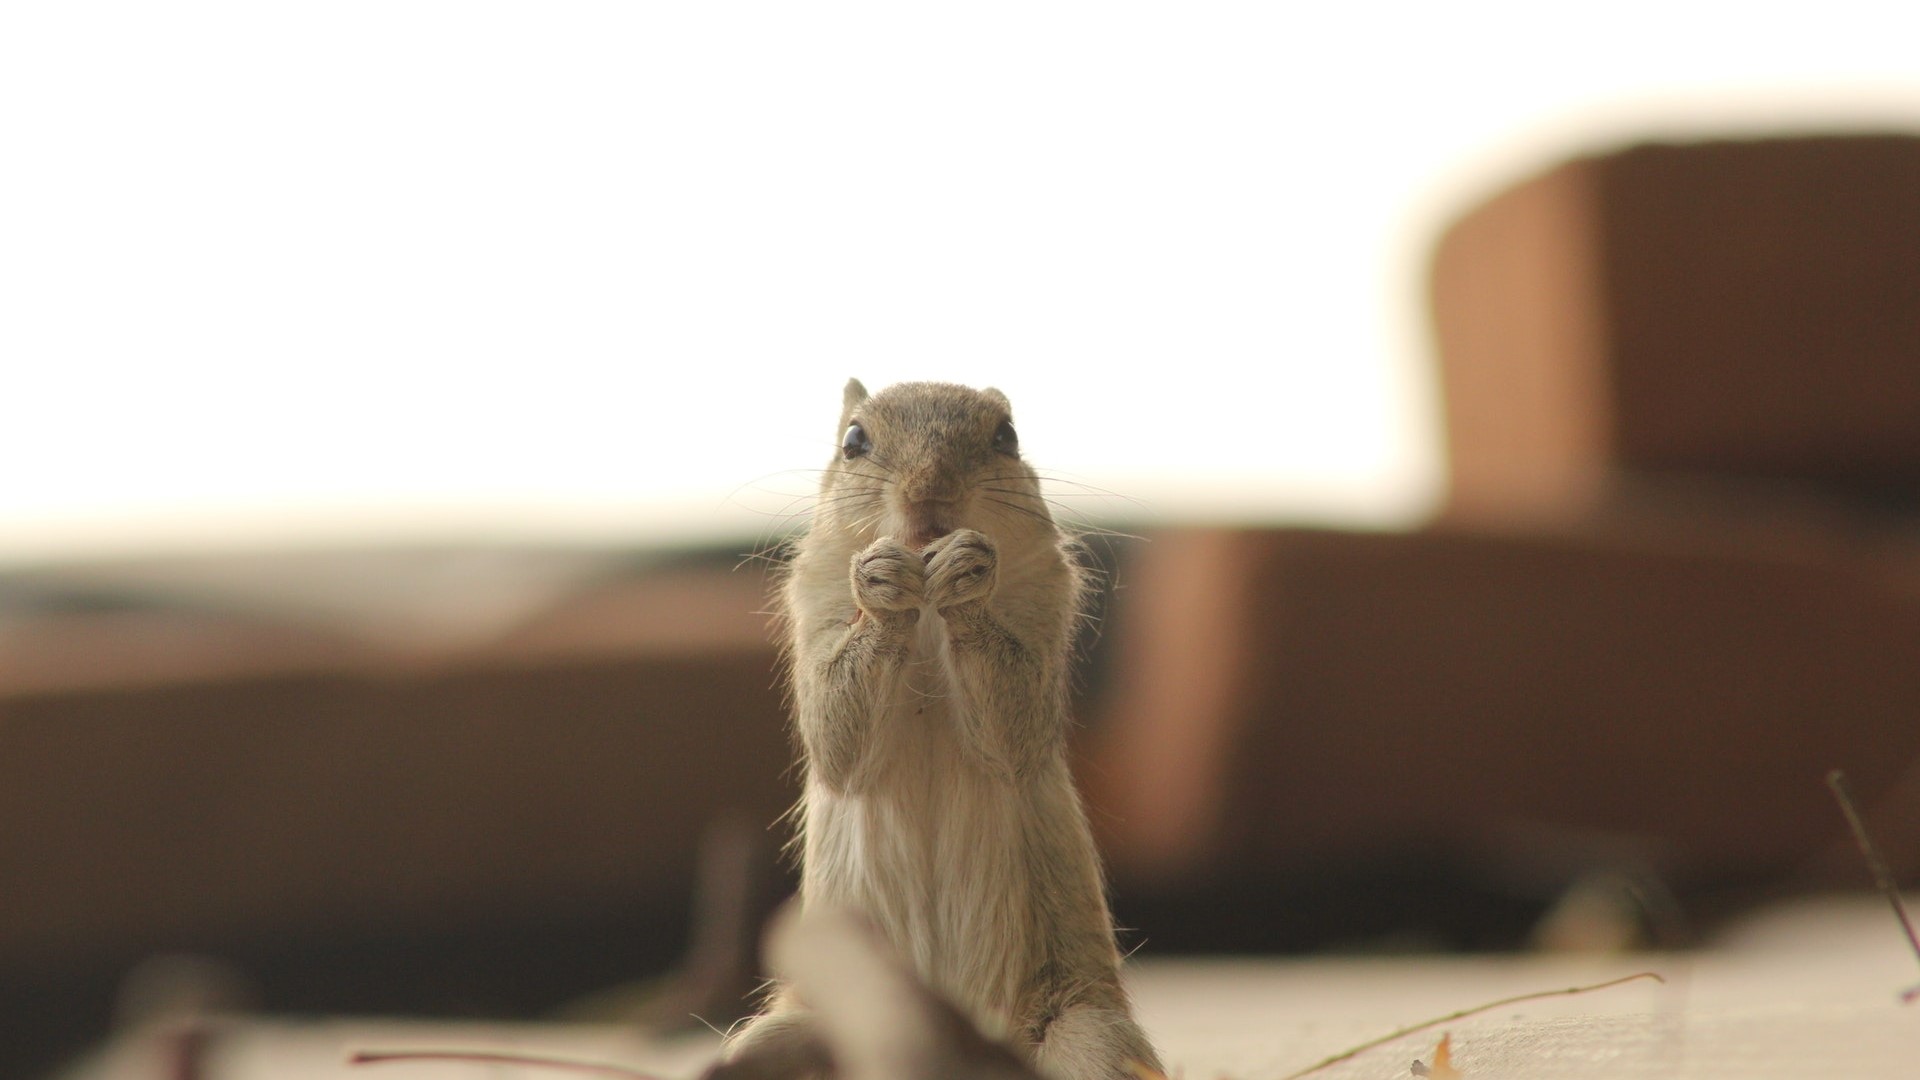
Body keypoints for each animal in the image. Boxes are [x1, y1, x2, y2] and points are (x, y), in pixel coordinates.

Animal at [723, 379, 1160, 1080]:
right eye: (854, 441)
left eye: (1007, 436)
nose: (929, 490)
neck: (926, 614)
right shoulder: (814, 607)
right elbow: (835, 739)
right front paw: (879, 584)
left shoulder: (1046, 609)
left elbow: (1017, 731)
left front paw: (967, 576)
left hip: (1089, 1037)